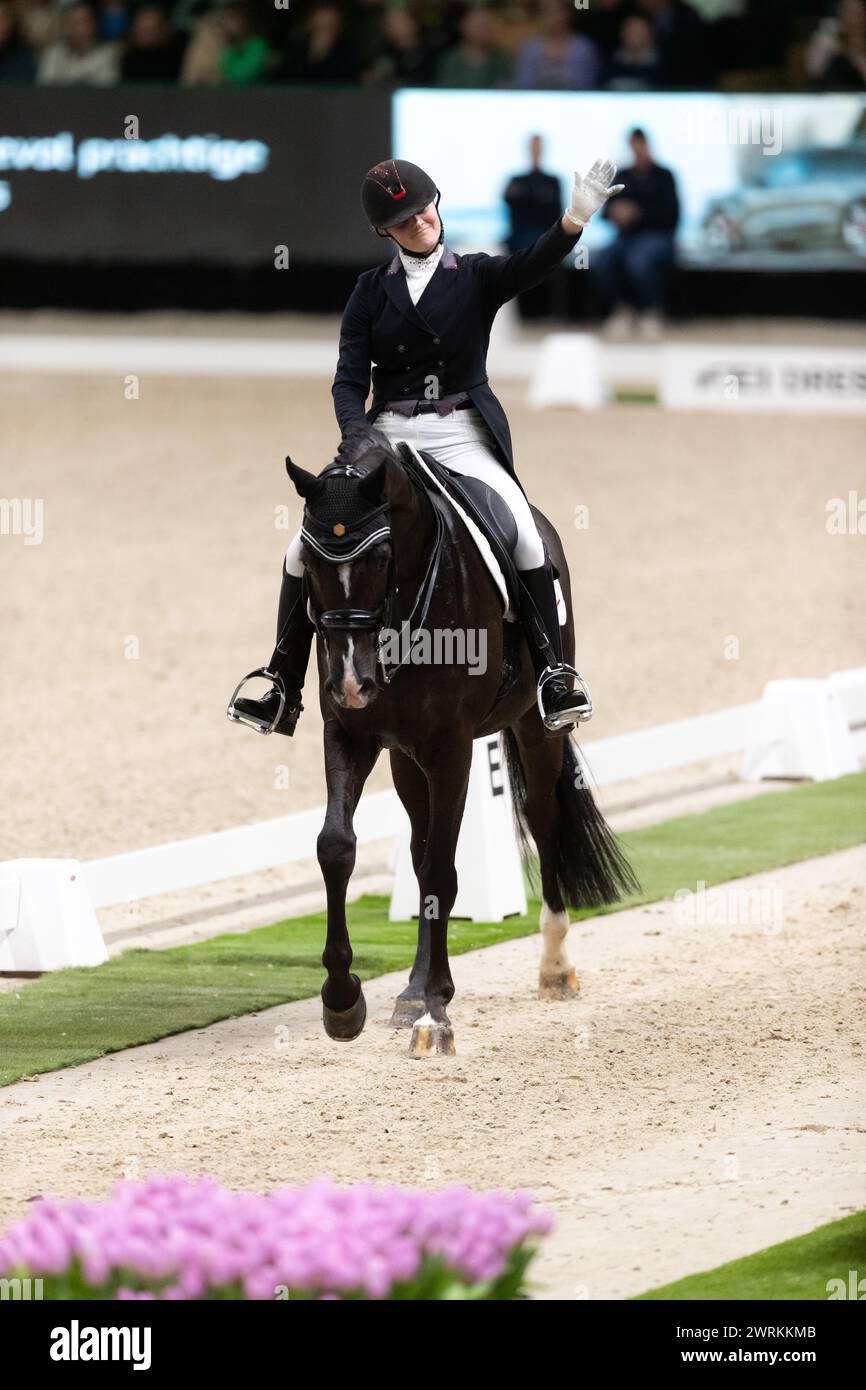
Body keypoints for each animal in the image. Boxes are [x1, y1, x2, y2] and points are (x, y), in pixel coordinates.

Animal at [287, 428, 633, 1056]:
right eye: (309, 563)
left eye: (381, 556)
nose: (351, 683)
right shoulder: (350, 734)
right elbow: (337, 847)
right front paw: (343, 1000)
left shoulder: (452, 749)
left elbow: (444, 872)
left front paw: (436, 1014)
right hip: (406, 759)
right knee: (420, 847)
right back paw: (410, 991)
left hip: (533, 727)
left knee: (540, 817)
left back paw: (553, 965)